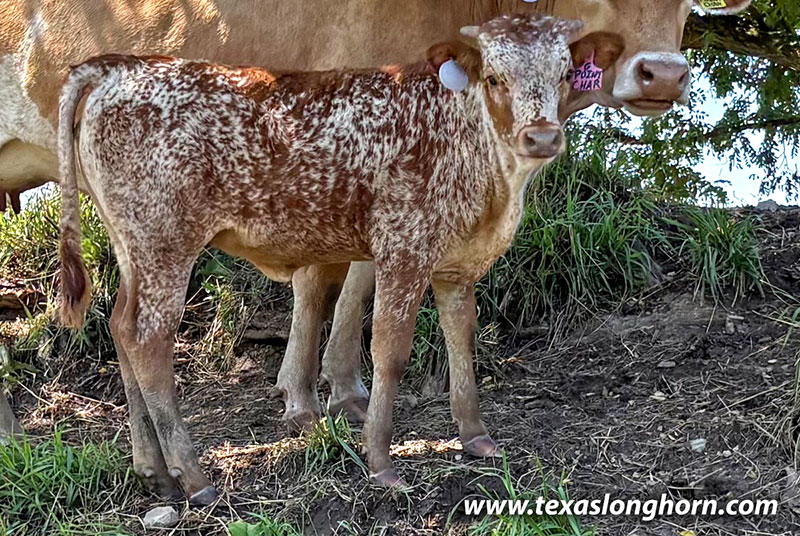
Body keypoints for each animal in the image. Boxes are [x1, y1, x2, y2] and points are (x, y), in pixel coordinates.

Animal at [57, 13, 620, 502]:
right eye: (495, 78)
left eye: (565, 74)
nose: (542, 136)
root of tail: (121, 65)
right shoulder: (404, 249)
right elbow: (390, 351)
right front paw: (381, 461)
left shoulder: (457, 263)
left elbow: (462, 337)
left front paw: (476, 435)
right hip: (165, 241)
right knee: (148, 340)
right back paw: (193, 477)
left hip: (132, 245)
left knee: (120, 326)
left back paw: (154, 470)